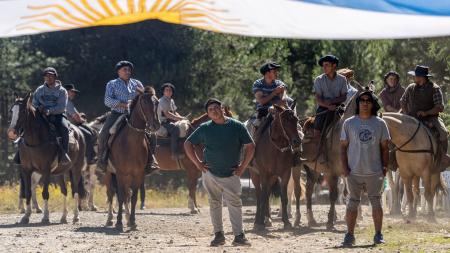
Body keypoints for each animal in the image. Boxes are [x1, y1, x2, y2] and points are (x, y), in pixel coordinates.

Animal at [7, 93, 87, 223]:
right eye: (11, 110)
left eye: (23, 111)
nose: (11, 132)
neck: (35, 142)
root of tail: (79, 133)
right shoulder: (26, 170)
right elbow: (28, 192)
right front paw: (26, 216)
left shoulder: (46, 170)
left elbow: (45, 193)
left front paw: (45, 216)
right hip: (59, 172)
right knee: (64, 191)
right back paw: (63, 217)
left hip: (76, 168)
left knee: (75, 190)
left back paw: (76, 216)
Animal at [104, 90, 161, 230]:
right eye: (144, 102)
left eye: (157, 102)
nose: (155, 125)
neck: (131, 143)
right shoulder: (120, 173)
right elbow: (120, 196)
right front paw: (119, 222)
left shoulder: (138, 174)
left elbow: (134, 197)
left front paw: (133, 222)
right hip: (109, 173)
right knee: (111, 193)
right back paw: (110, 219)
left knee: (127, 195)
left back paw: (128, 219)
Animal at [251, 102, 300, 230]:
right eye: (285, 120)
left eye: (296, 119)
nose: (297, 141)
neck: (276, 150)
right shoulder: (264, 173)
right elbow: (263, 196)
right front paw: (259, 222)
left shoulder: (285, 174)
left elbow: (284, 197)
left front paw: (286, 221)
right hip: (255, 175)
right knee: (259, 194)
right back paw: (258, 220)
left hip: (272, 177)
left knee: (267, 193)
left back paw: (267, 219)